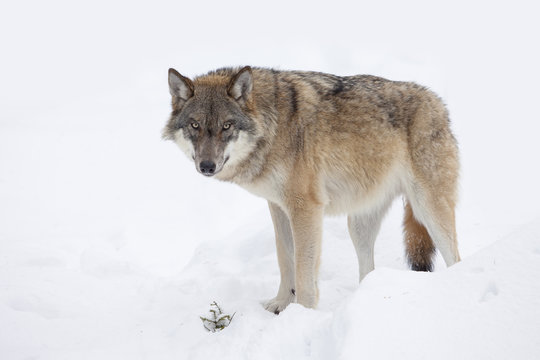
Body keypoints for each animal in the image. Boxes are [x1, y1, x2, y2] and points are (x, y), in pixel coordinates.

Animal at [163, 66, 460, 314]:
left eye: (226, 126)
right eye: (195, 125)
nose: (207, 166)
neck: (273, 127)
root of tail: (438, 103)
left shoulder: (305, 208)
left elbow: (304, 270)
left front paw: (302, 314)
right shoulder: (279, 207)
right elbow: (286, 260)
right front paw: (281, 304)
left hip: (428, 210)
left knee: (454, 257)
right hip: (359, 225)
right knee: (368, 269)